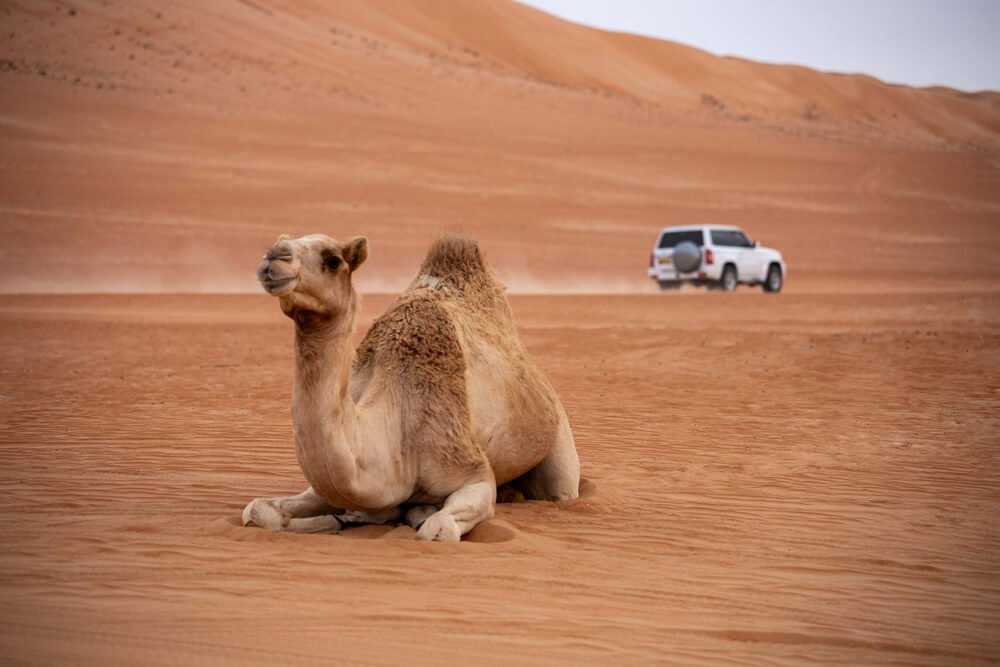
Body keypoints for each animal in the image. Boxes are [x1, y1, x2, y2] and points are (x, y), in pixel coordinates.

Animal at [242, 232, 584, 540]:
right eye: (282, 240)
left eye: (333, 259)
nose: (274, 255)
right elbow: (257, 510)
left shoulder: (471, 469)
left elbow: (438, 527)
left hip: (560, 447)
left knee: (560, 489)